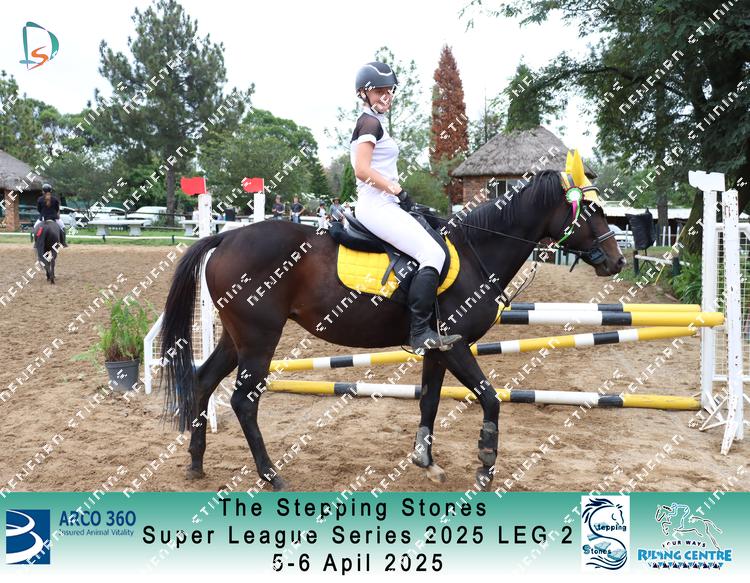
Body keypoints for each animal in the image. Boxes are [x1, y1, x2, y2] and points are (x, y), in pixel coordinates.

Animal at [158, 169, 625, 490]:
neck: (478, 250)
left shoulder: (437, 349)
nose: (617, 260)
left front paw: (426, 461)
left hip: (237, 338)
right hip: (259, 340)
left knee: (203, 380)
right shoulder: (455, 346)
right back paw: (271, 475)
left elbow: (430, 402)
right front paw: (486, 461)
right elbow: (490, 398)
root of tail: (225, 238)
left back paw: (196, 462)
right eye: (593, 211)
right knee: (243, 401)